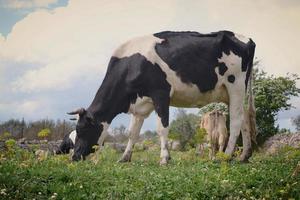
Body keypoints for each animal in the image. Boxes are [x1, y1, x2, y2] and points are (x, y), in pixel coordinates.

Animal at [68, 30, 255, 164]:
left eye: (82, 130)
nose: (74, 156)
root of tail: (244, 38)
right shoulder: (140, 104)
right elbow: (132, 133)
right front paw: (125, 157)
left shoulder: (161, 94)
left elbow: (162, 128)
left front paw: (164, 158)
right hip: (231, 93)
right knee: (244, 119)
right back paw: (244, 156)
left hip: (236, 85)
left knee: (236, 121)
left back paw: (227, 156)